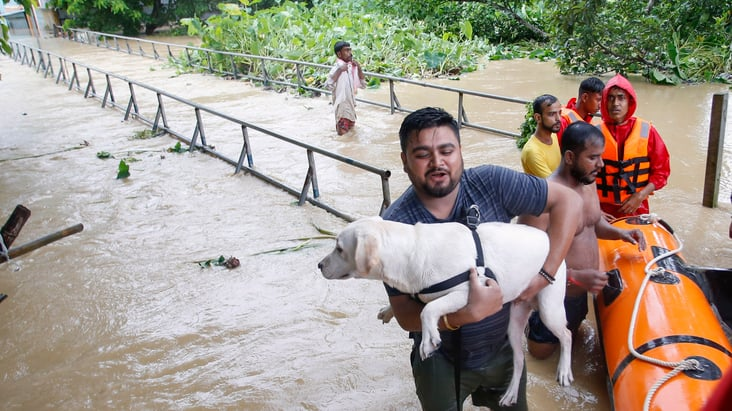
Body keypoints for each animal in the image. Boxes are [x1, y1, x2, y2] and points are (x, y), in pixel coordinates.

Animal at [316, 217, 572, 408]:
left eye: (339, 249)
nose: (319, 265)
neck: (412, 253)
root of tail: (547, 237)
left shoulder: (470, 292)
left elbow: (428, 309)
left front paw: (429, 340)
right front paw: (388, 311)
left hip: (549, 309)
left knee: (567, 335)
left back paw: (564, 371)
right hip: (514, 322)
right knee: (518, 360)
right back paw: (509, 394)